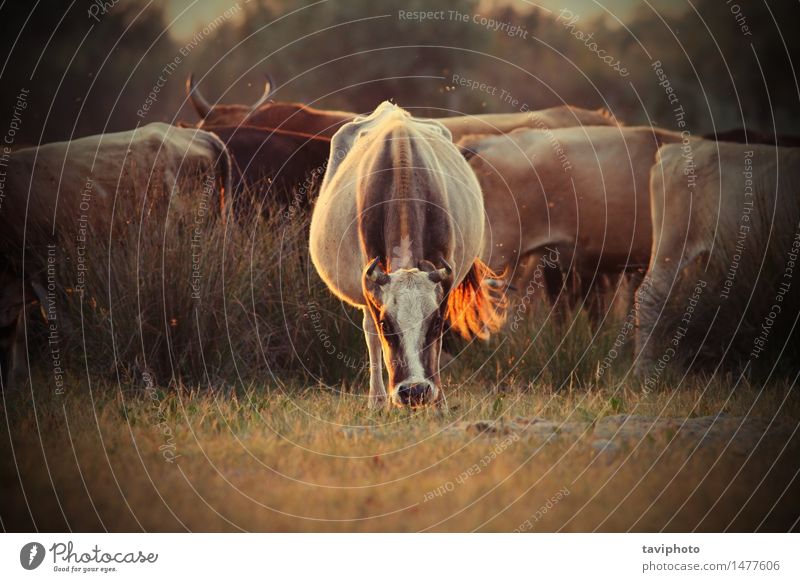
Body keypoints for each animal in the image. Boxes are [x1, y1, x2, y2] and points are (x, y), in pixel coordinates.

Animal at [308, 101, 506, 410]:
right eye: (387, 324)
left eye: (434, 322)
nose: (414, 391)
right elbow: (374, 336)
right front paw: (382, 401)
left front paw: (440, 403)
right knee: (368, 333)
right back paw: (377, 400)